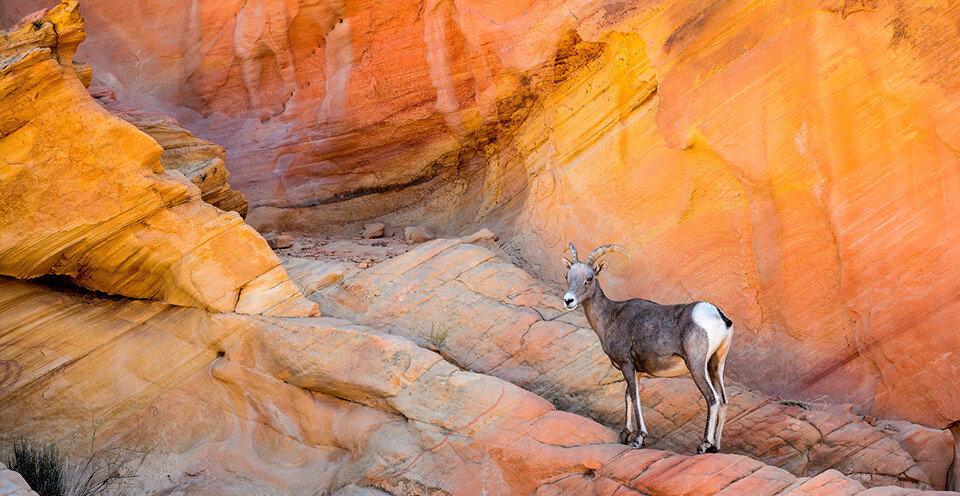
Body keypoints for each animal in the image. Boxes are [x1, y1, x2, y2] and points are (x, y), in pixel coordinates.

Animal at [564, 243, 736, 454]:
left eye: (589, 278)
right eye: (567, 277)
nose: (568, 300)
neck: (610, 316)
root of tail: (719, 316)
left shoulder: (627, 364)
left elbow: (635, 397)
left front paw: (639, 439)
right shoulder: (636, 369)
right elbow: (628, 396)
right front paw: (625, 435)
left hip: (696, 365)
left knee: (713, 399)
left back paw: (704, 445)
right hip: (716, 364)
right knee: (724, 400)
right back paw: (716, 447)